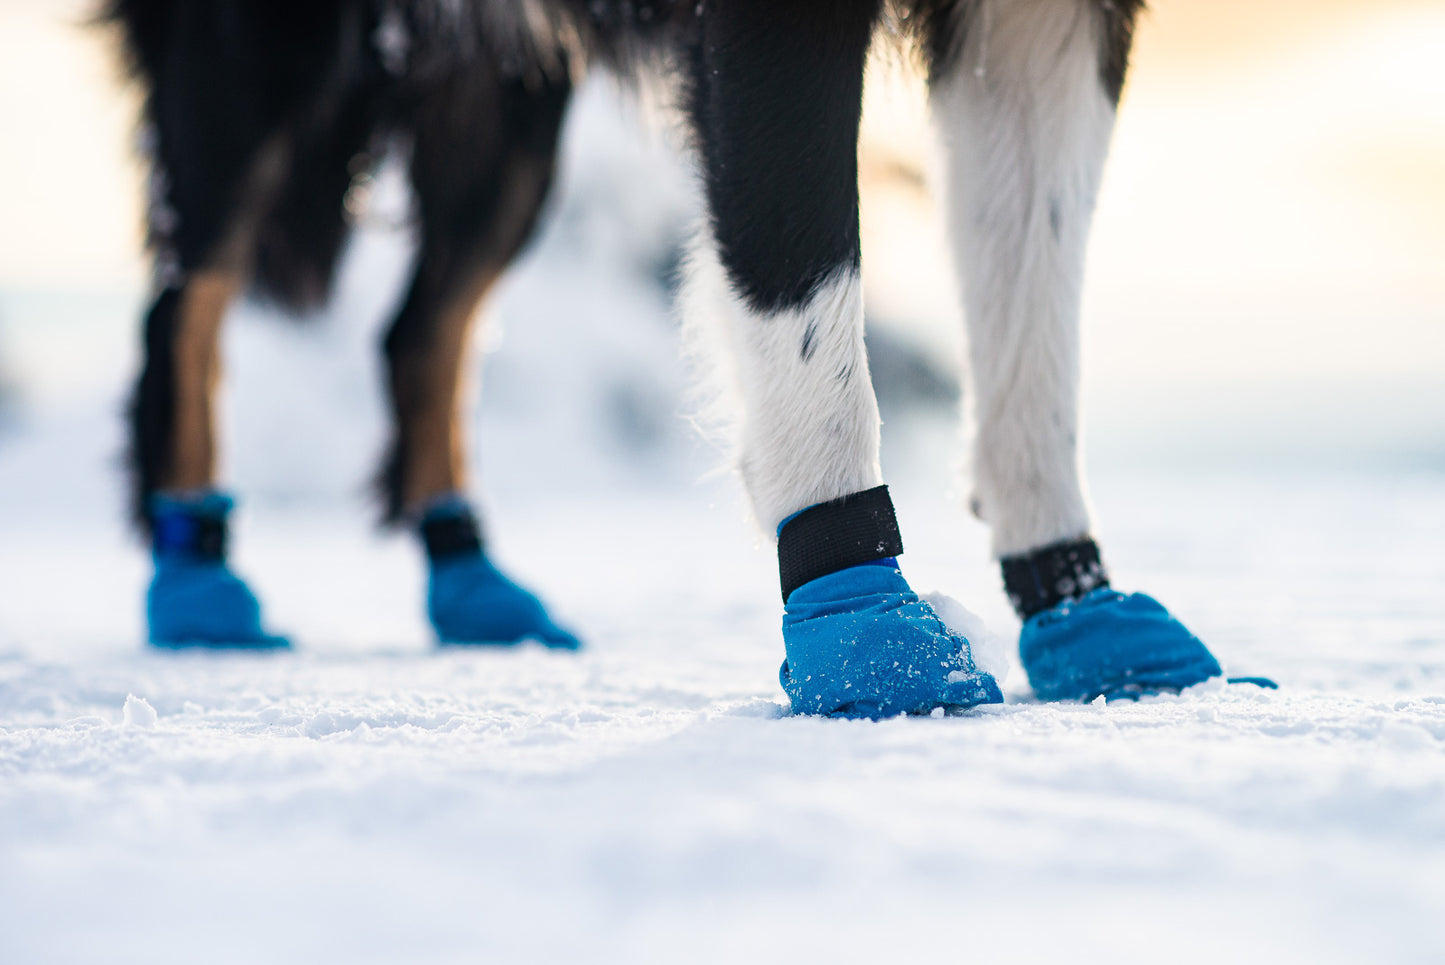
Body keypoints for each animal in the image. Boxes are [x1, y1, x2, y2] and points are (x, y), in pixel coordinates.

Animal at [106, 1, 1231, 716]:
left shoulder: (1044, 26)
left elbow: (1032, 331)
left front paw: (1079, 609)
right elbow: (804, 303)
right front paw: (865, 633)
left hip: (506, 100)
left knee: (419, 334)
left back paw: (470, 580)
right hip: (263, 59)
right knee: (185, 306)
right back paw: (195, 579)